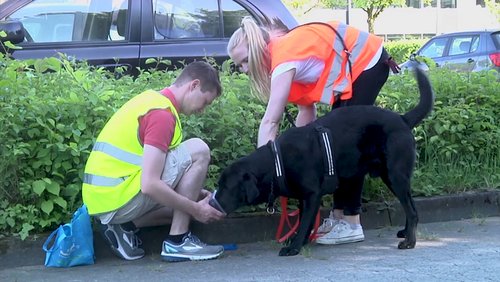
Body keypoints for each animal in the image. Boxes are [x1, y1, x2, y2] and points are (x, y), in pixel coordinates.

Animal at [215, 68, 434, 256]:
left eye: (226, 186)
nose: (213, 202)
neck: (277, 161)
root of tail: (402, 118)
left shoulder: (312, 195)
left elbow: (304, 223)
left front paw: (294, 246)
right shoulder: (303, 198)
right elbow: (304, 221)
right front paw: (299, 241)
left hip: (395, 175)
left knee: (412, 210)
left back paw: (409, 242)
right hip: (390, 177)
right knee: (411, 205)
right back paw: (405, 232)